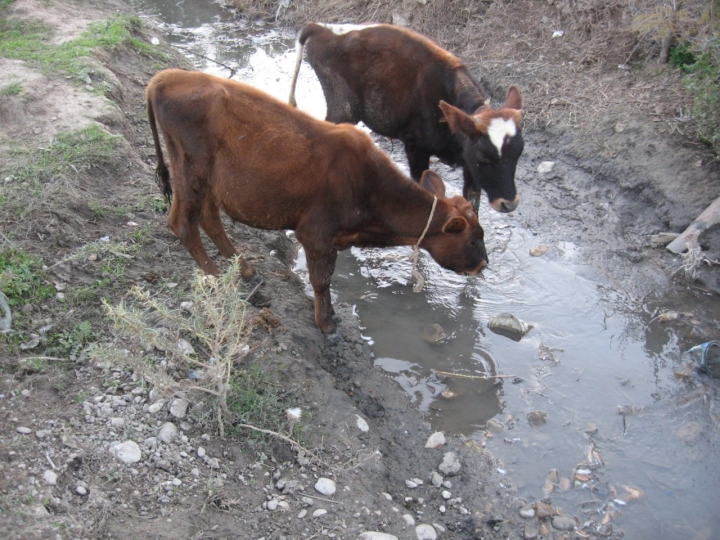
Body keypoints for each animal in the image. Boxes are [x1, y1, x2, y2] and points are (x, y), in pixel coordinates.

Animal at [149, 69, 492, 336]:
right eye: (475, 239)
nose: (484, 264)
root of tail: (165, 77)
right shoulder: (316, 232)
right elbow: (321, 279)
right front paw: (326, 324)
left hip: (207, 180)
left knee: (209, 218)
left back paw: (246, 270)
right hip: (190, 168)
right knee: (182, 222)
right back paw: (219, 277)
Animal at [286, 23, 524, 213]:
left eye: (519, 153)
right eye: (484, 156)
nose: (509, 203)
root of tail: (323, 28)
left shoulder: (469, 164)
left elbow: (472, 206)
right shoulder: (416, 148)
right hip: (343, 109)